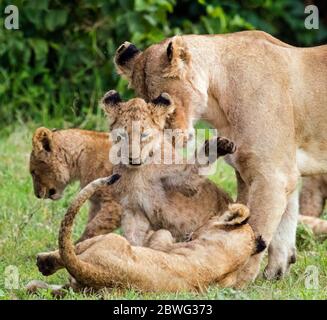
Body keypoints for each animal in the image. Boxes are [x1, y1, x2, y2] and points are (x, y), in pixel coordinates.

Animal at [114, 30, 327, 284]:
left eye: (164, 101)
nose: (162, 143)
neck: (217, 104)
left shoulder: (273, 176)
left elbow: (253, 230)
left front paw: (237, 281)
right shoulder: (257, 174)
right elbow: (281, 228)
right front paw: (274, 275)